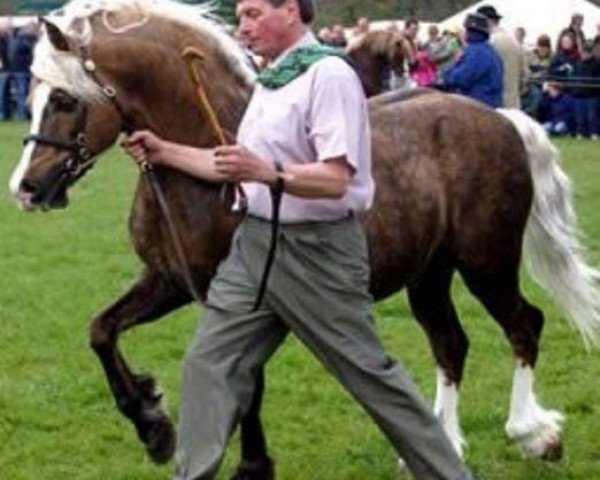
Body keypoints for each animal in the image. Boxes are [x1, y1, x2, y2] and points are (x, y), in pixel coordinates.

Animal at [8, 1, 600, 478]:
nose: (26, 188)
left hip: (487, 262)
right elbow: (101, 331)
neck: (206, 163)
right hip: (430, 275)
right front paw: (153, 423)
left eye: (64, 99)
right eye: (32, 94)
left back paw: (534, 434)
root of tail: (501, 118)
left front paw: (249, 464)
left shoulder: (240, 294)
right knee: (451, 344)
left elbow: (247, 385)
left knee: (525, 325)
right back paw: (440, 446)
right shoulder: (170, 281)